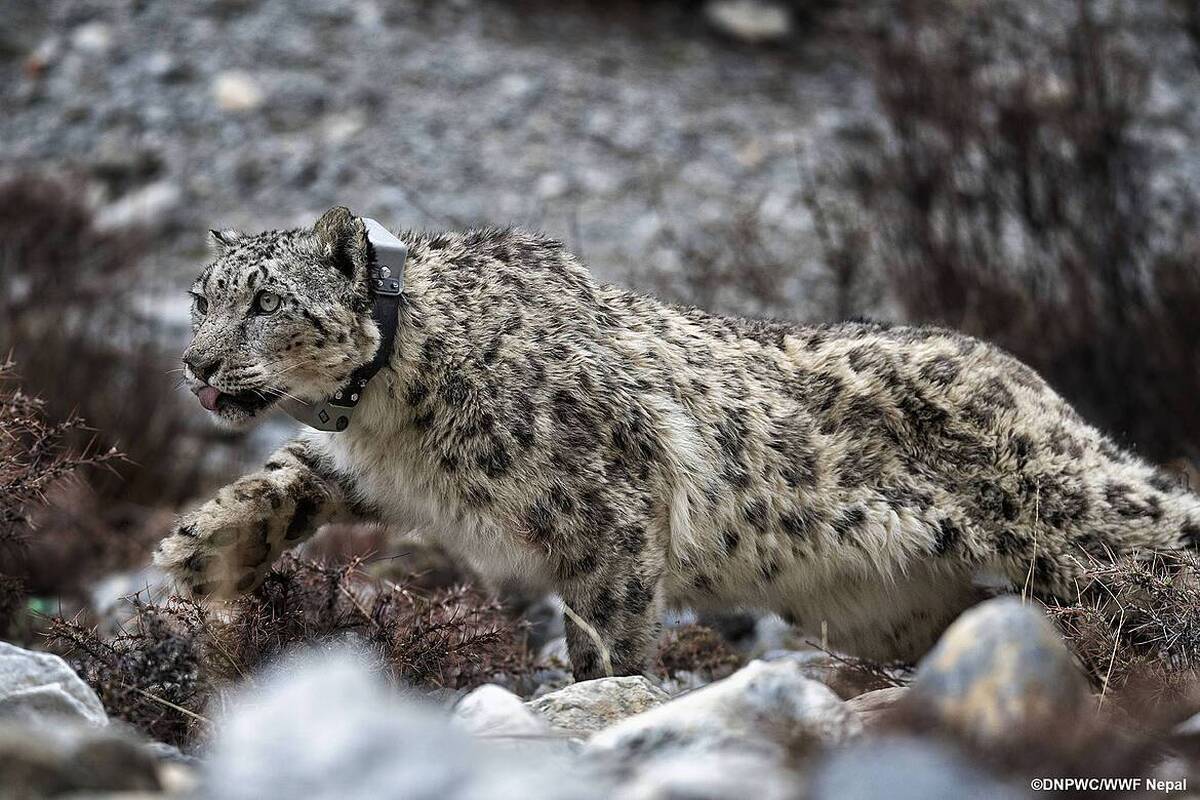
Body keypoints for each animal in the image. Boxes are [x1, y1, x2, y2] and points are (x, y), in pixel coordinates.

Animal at [154, 206, 1200, 676]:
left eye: (265, 304)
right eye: (201, 296)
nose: (196, 364)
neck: (385, 420)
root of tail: (1028, 380)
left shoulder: (603, 509)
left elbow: (607, 624)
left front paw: (599, 695)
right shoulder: (368, 466)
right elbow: (293, 469)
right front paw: (204, 547)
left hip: (1079, 521)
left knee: (1163, 542)